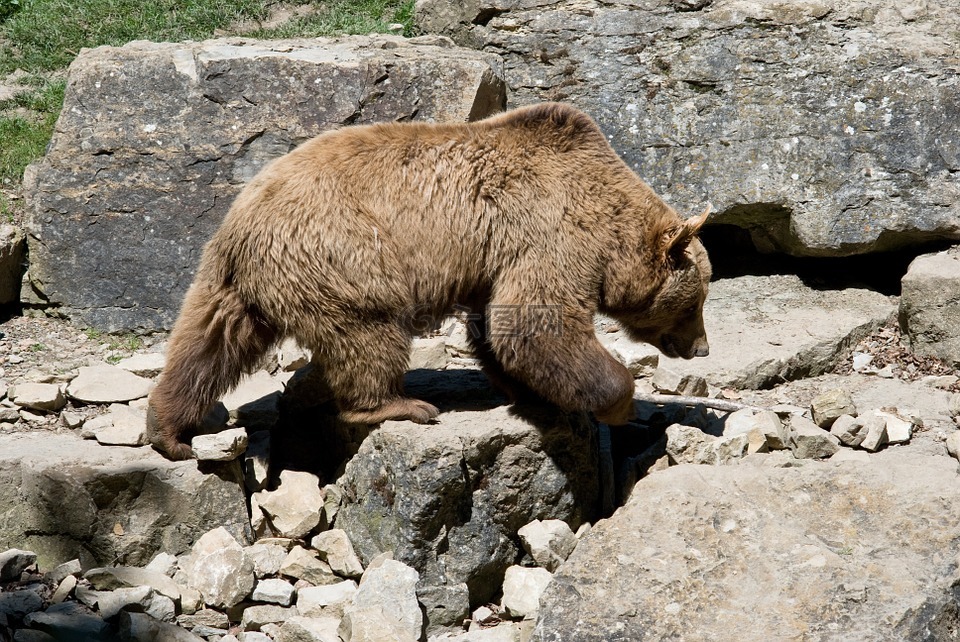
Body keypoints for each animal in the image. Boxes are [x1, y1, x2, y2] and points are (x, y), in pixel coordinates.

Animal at [146, 102, 708, 458]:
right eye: (696, 301)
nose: (701, 347)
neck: (611, 228)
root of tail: (242, 218)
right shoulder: (550, 232)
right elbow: (536, 325)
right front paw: (620, 402)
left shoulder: (492, 258)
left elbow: (498, 332)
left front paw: (535, 393)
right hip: (343, 255)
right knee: (369, 333)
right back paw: (400, 405)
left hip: (232, 281)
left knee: (207, 342)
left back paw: (168, 429)